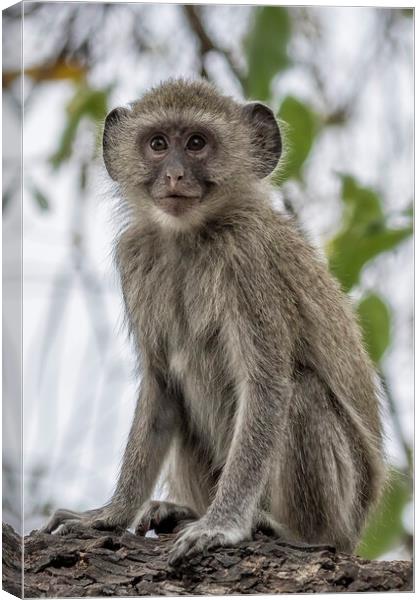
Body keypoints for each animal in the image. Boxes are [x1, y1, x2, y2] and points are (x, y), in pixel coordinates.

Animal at [42, 78, 384, 564]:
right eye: (158, 144)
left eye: (197, 144)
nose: (174, 176)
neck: (191, 238)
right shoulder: (134, 255)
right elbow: (162, 385)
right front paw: (108, 515)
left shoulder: (247, 258)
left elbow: (266, 386)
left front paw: (223, 524)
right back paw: (182, 510)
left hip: (343, 505)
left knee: (302, 392)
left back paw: (289, 530)